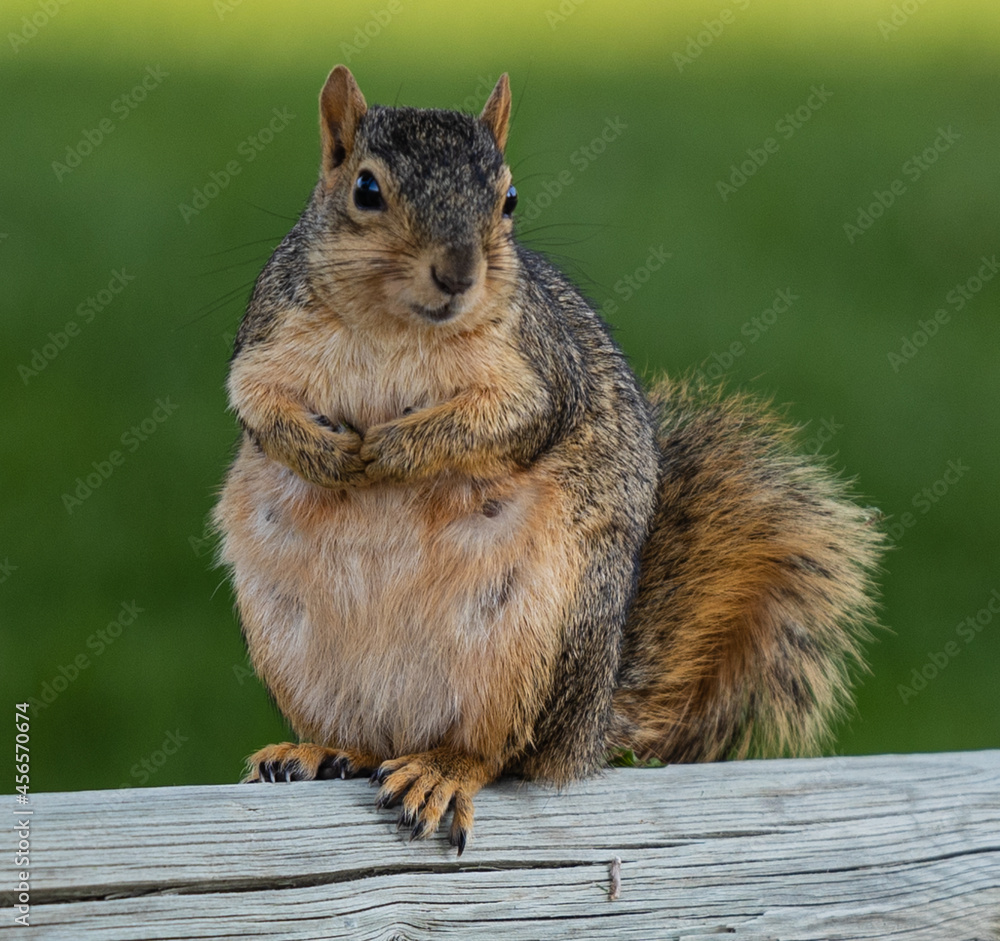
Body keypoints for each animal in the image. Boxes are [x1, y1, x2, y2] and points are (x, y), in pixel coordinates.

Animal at [213, 65, 883, 855]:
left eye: (509, 199)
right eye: (366, 189)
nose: (457, 274)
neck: (395, 326)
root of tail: (589, 731)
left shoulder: (538, 371)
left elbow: (510, 421)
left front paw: (393, 449)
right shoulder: (266, 339)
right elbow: (259, 409)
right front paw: (330, 452)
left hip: (538, 642)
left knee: (503, 754)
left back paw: (442, 770)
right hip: (293, 644)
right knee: (369, 742)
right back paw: (320, 749)